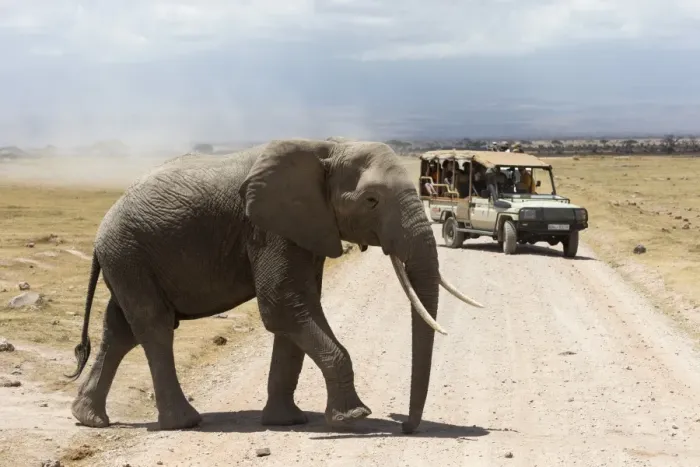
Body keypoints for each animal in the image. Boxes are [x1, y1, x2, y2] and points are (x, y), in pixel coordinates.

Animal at [65, 138, 482, 435]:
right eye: (371, 200)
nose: (406, 427)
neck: (328, 146)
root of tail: (101, 237)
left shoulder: (307, 228)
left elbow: (299, 309)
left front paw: (288, 422)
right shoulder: (268, 228)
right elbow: (283, 305)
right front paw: (353, 418)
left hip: (128, 259)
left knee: (120, 330)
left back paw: (89, 419)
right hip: (129, 253)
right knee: (154, 326)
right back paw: (185, 423)